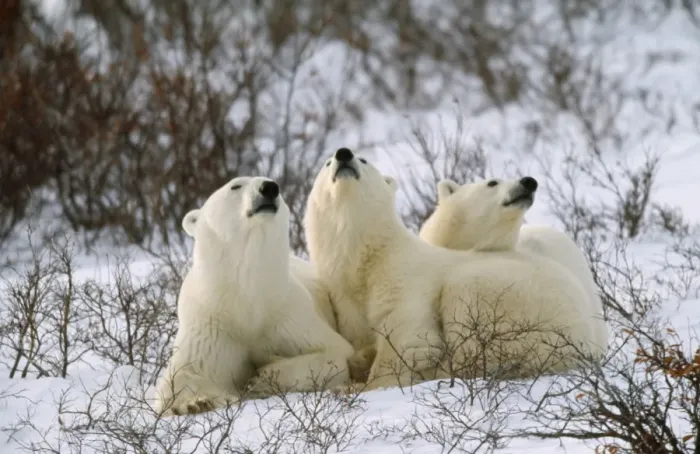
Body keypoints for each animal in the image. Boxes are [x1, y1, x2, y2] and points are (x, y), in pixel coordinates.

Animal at [153, 176, 356, 416]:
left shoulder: (289, 316)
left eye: (274, 184)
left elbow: (336, 353)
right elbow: (181, 375)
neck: (248, 299)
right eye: (235, 186)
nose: (269, 188)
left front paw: (261, 377)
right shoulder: (209, 325)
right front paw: (196, 402)